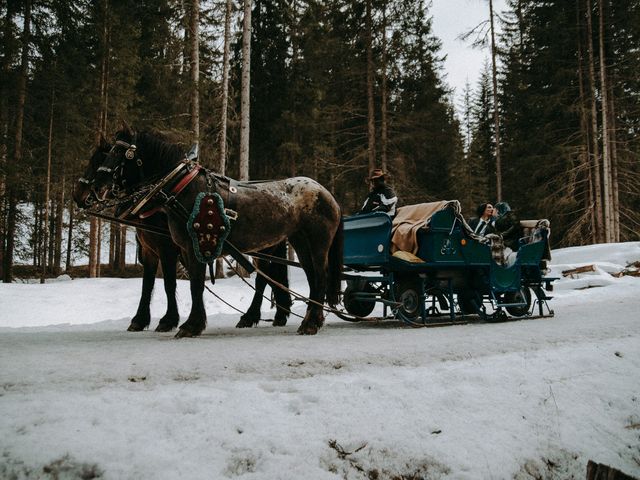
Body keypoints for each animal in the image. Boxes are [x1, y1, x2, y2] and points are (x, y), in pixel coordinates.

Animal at [87, 127, 342, 338]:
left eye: (119, 153)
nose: (96, 187)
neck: (182, 189)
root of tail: (327, 194)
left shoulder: (189, 247)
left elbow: (192, 284)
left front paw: (189, 325)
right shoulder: (184, 249)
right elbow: (190, 284)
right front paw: (189, 323)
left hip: (317, 243)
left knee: (318, 276)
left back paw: (307, 323)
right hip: (299, 243)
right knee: (309, 277)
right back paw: (310, 319)